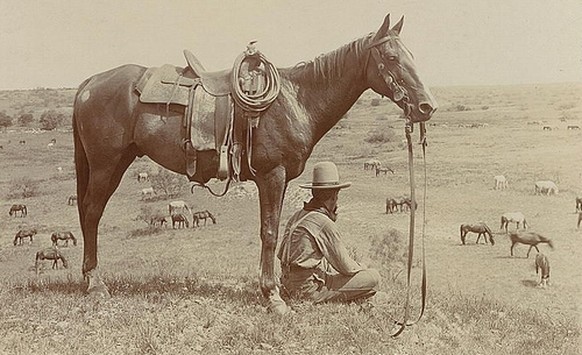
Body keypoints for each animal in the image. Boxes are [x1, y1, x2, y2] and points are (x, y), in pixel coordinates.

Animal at [70, 14, 438, 314]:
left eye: (412, 56)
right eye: (391, 57)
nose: (426, 106)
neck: (296, 99)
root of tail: (90, 83)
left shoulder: (282, 178)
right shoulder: (272, 175)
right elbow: (270, 233)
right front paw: (272, 296)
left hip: (117, 163)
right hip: (105, 165)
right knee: (91, 212)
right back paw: (95, 283)